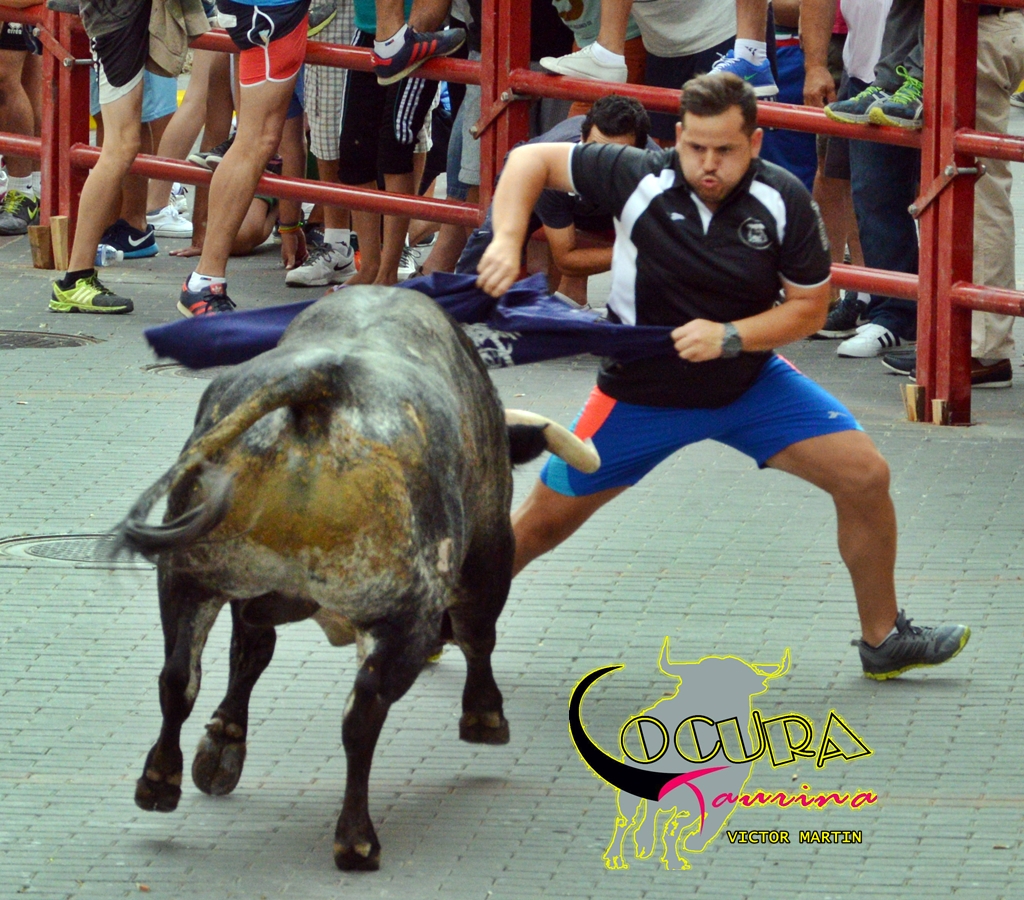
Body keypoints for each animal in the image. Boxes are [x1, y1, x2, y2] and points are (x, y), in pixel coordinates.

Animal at [113, 286, 599, 871]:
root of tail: (321, 383)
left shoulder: (249, 595)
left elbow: (249, 655)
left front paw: (223, 744)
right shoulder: (486, 555)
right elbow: (478, 635)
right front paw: (485, 716)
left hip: (185, 575)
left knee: (179, 676)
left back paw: (160, 780)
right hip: (402, 611)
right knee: (363, 711)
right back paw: (356, 838)